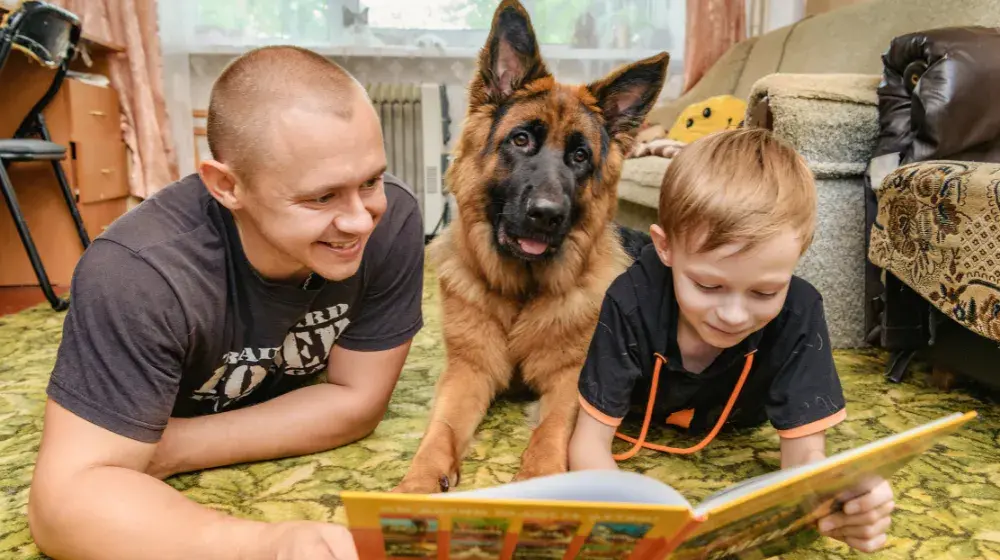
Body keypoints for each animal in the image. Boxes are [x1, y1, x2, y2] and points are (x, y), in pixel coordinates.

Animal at [394, 0, 668, 492]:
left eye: (579, 157)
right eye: (521, 139)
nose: (546, 214)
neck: (522, 293)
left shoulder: (570, 381)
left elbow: (551, 431)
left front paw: (539, 479)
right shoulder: (467, 372)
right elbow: (440, 430)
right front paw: (418, 484)